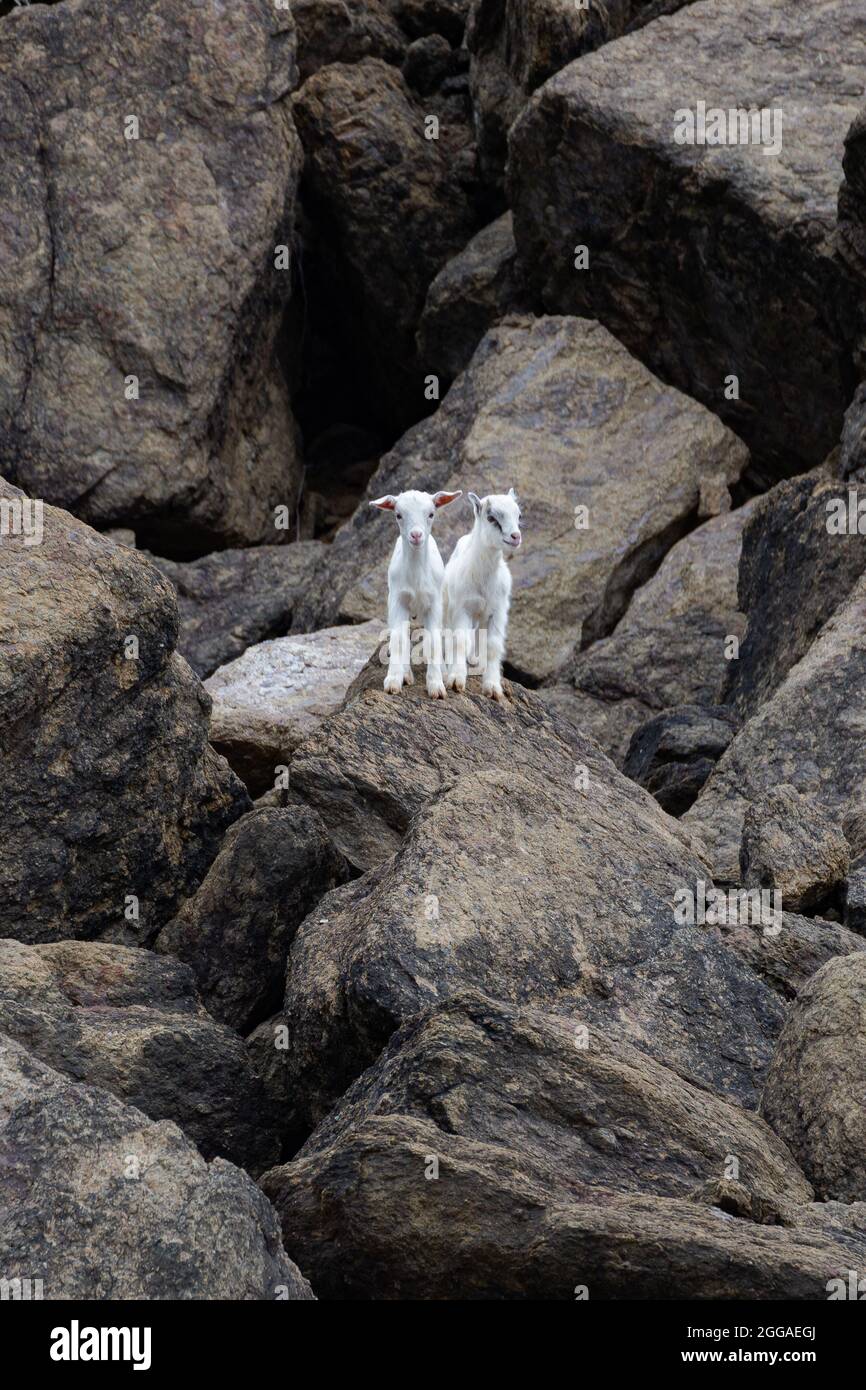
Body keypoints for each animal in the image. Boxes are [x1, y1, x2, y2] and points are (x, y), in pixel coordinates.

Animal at [369, 488, 462, 698]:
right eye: (398, 515)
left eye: (431, 514)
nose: (416, 535)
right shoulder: (398, 600)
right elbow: (398, 640)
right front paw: (393, 681)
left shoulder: (434, 604)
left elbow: (434, 642)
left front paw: (436, 686)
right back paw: (405, 673)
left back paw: (444, 672)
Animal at [443, 488, 522, 702]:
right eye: (491, 517)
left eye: (519, 515)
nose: (515, 536)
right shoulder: (462, 609)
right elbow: (460, 640)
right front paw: (456, 680)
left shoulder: (498, 612)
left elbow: (493, 646)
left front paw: (493, 688)